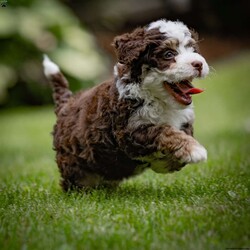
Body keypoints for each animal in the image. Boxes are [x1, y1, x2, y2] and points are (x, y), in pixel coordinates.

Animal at [43, 19, 209, 191]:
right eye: (168, 54)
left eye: (193, 49)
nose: (198, 64)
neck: (160, 100)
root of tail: (66, 104)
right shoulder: (129, 130)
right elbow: (163, 131)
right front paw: (194, 150)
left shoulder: (184, 123)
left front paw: (168, 162)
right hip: (73, 163)